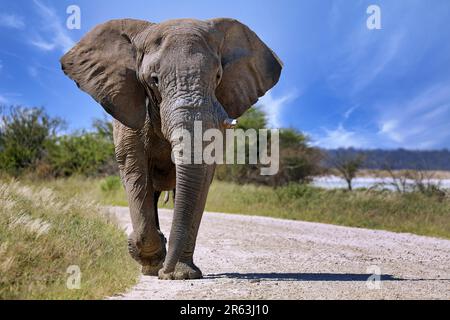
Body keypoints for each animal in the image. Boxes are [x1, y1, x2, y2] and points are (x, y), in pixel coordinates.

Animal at [60, 17, 282, 278]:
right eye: (154, 80)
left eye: (218, 77)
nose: (164, 272)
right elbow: (134, 170)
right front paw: (150, 258)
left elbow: (202, 178)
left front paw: (181, 274)